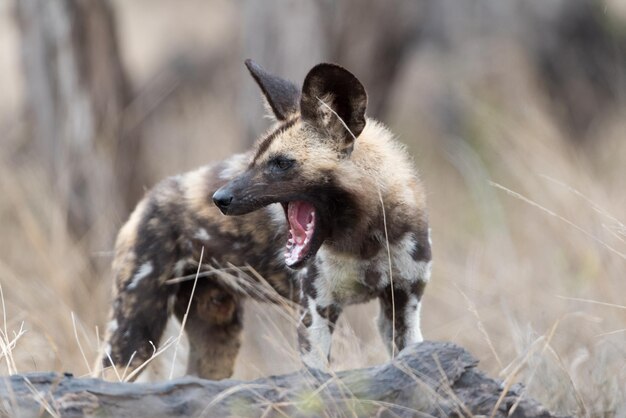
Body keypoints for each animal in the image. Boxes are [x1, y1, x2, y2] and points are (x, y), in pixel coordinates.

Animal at [101, 61, 428, 378]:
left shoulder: (403, 308)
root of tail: (149, 197)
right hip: (132, 339)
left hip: (216, 340)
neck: (366, 239)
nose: (219, 198)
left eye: (281, 163)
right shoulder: (316, 314)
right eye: (253, 160)